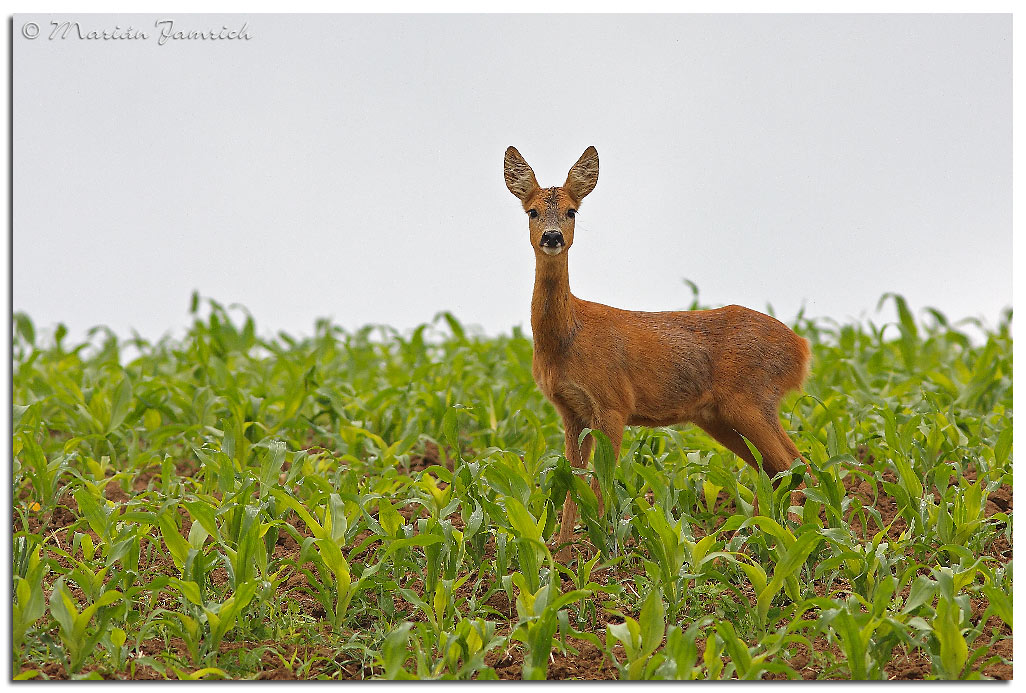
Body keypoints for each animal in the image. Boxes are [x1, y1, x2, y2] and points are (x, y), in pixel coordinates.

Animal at [502, 146, 808, 562]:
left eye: (572, 211)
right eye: (532, 211)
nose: (552, 236)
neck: (567, 339)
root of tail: (802, 349)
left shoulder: (613, 403)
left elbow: (601, 482)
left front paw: (600, 551)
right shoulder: (571, 410)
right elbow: (572, 481)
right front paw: (561, 554)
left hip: (751, 397)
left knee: (793, 462)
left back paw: (787, 542)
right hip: (720, 416)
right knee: (774, 467)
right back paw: (752, 541)